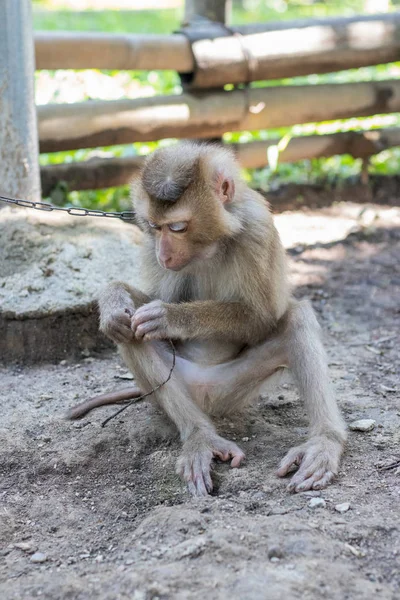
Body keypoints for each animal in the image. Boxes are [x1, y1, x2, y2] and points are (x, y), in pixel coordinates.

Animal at [79, 143, 346, 494]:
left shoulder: (258, 229)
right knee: (131, 333)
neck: (208, 246)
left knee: (297, 317)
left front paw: (170, 316)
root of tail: (207, 398)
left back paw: (324, 442)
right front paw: (113, 301)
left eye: (178, 227)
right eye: (155, 226)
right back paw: (200, 437)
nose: (164, 254)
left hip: (234, 389)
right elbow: (140, 308)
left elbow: (262, 317)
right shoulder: (150, 245)